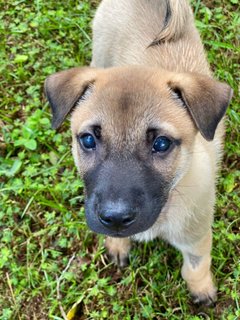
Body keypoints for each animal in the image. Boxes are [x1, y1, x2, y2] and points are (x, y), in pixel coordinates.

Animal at [44, 0, 232, 304]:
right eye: (87, 140)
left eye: (162, 144)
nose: (115, 219)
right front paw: (118, 242)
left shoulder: (196, 235)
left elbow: (196, 266)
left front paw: (202, 290)